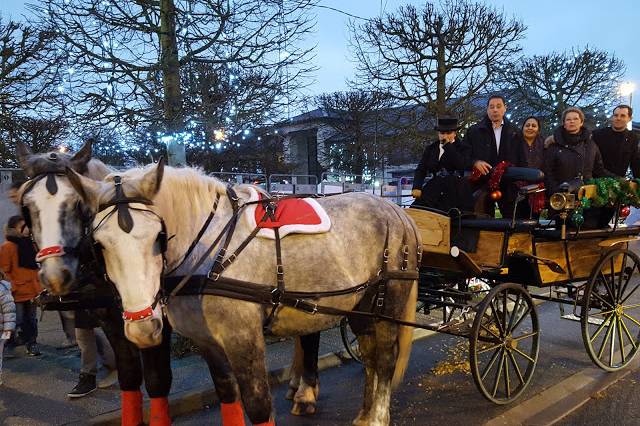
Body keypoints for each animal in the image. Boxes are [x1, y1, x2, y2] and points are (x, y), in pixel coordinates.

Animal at [67, 160, 418, 426]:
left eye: (159, 236)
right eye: (98, 244)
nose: (143, 328)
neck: (207, 247)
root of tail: (396, 211)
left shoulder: (243, 338)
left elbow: (258, 405)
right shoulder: (209, 342)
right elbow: (228, 396)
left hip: (387, 303)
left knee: (384, 359)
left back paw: (377, 417)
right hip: (361, 307)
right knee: (370, 356)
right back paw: (365, 414)